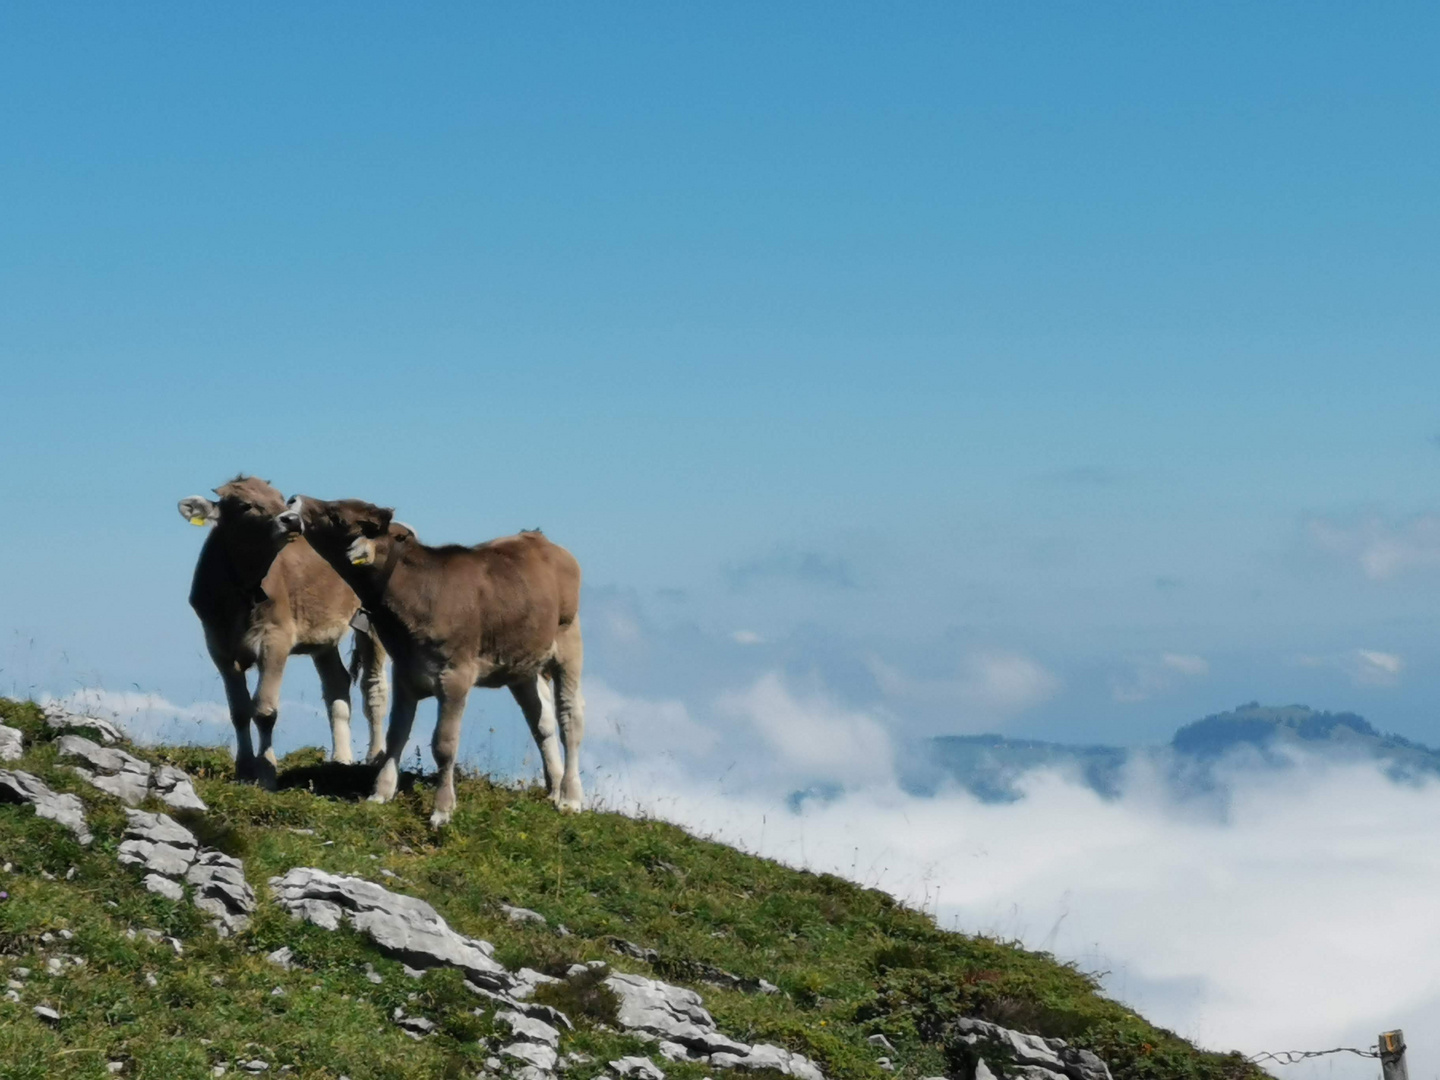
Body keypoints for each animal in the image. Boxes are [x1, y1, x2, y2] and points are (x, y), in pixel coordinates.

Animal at [177, 475, 391, 789]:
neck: (238, 595)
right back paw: (340, 759)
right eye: (245, 505)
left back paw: (375, 756)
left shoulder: (275, 639)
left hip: (375, 626)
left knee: (373, 687)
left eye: (280, 498)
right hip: (324, 637)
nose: (292, 519)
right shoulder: (218, 646)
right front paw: (244, 769)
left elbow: (264, 710)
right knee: (336, 685)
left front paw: (267, 773)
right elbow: (239, 711)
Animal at [270, 498, 584, 829]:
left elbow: (444, 744)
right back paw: (554, 788)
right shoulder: (405, 672)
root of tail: (538, 538)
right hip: (522, 666)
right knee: (542, 723)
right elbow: (396, 734)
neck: (419, 593)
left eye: (337, 516)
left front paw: (442, 809)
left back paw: (570, 798)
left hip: (568, 643)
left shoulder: (455, 676)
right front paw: (381, 792)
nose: (294, 500)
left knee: (569, 720)